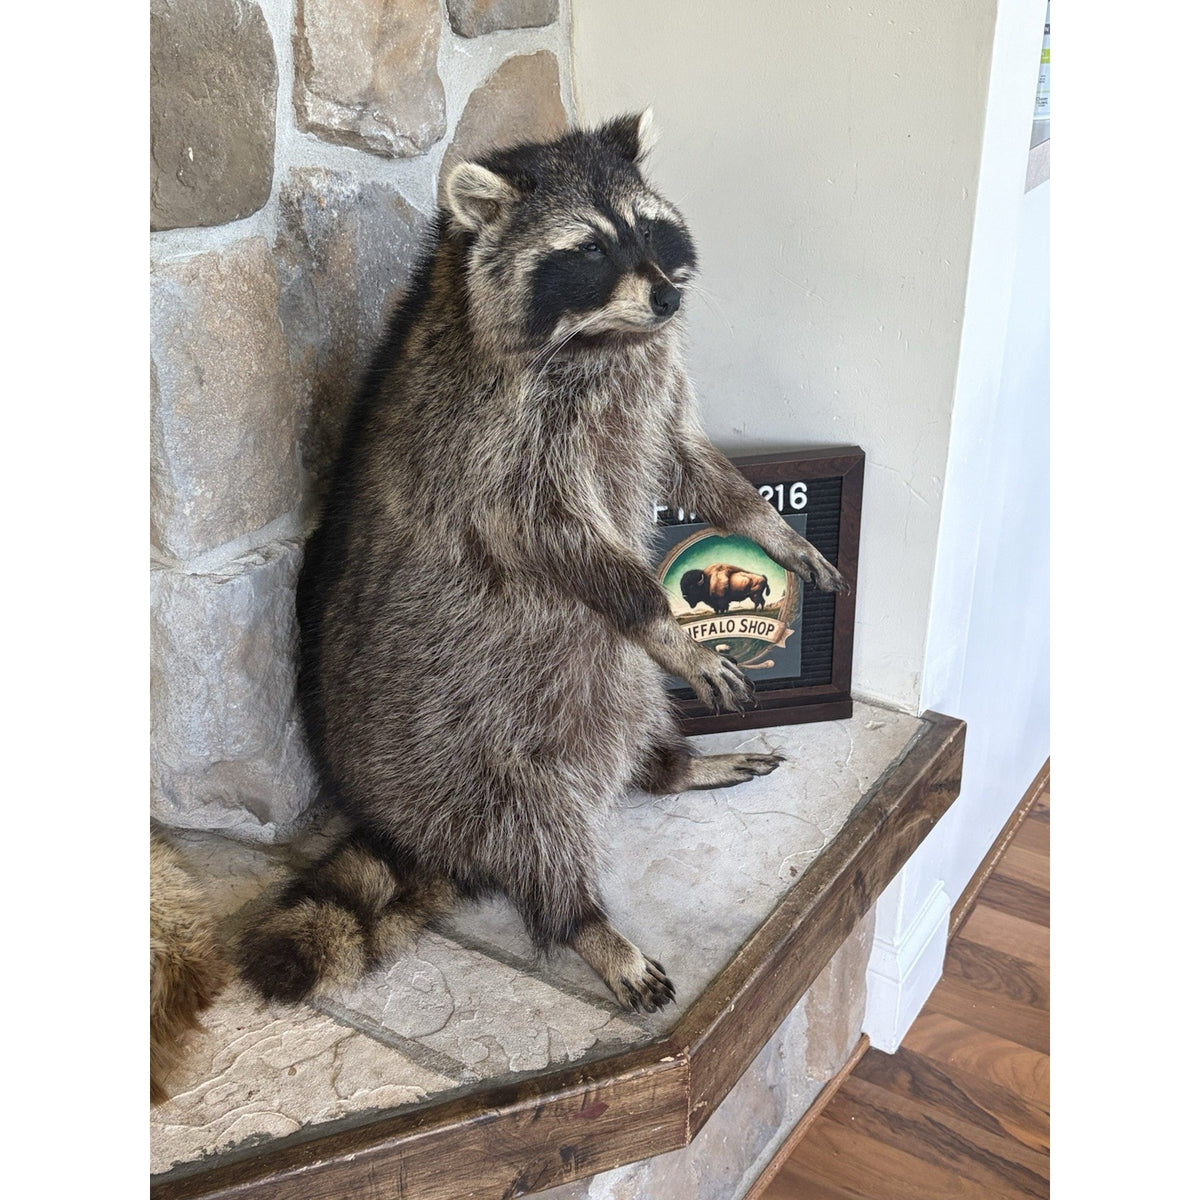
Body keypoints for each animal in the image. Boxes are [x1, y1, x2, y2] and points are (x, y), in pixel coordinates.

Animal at [235, 113, 849, 1013]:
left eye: (649, 230)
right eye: (588, 250)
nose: (667, 296)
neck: (607, 335)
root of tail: (414, 833)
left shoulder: (652, 386)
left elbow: (688, 458)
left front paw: (769, 525)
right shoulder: (493, 440)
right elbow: (552, 535)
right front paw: (666, 623)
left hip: (593, 689)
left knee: (632, 708)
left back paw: (667, 767)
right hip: (476, 746)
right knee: (534, 829)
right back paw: (588, 923)